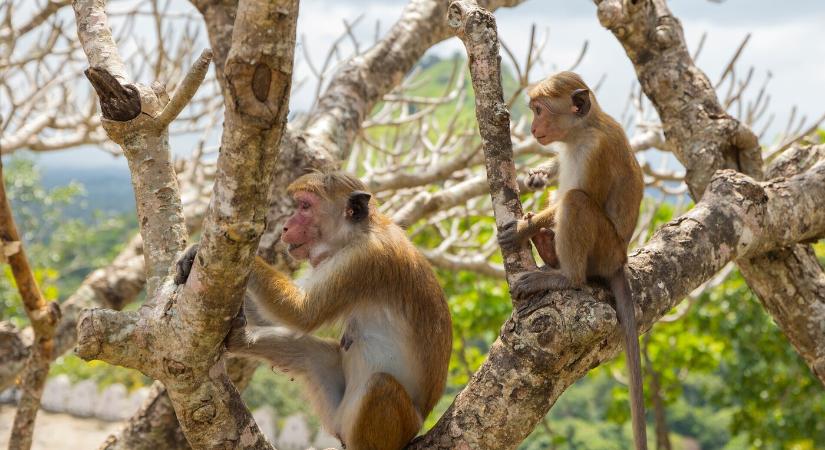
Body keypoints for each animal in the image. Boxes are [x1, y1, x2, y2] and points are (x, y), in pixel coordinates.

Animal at [496, 71, 652, 450]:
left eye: (539, 110)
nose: (534, 127)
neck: (582, 129)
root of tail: (620, 260)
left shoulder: (594, 152)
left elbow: (577, 197)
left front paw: (521, 229)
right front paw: (539, 174)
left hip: (604, 249)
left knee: (576, 202)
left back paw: (565, 275)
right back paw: (548, 251)